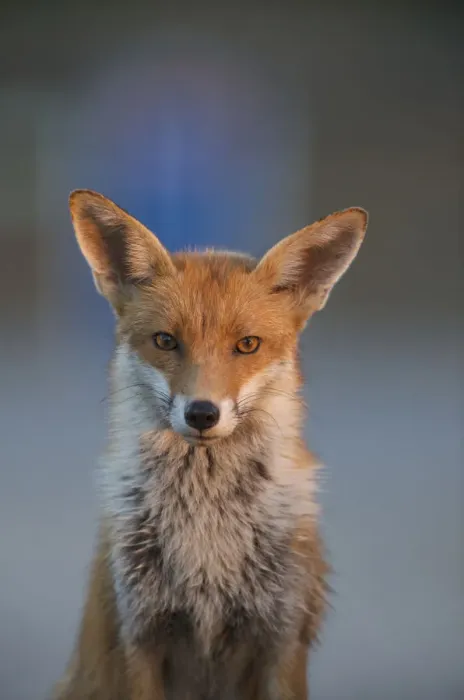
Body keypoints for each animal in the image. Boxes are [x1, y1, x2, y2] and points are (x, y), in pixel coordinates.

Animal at [53, 189, 368, 700]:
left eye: (248, 344)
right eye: (165, 341)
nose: (202, 413)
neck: (206, 533)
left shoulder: (282, 638)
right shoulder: (139, 636)